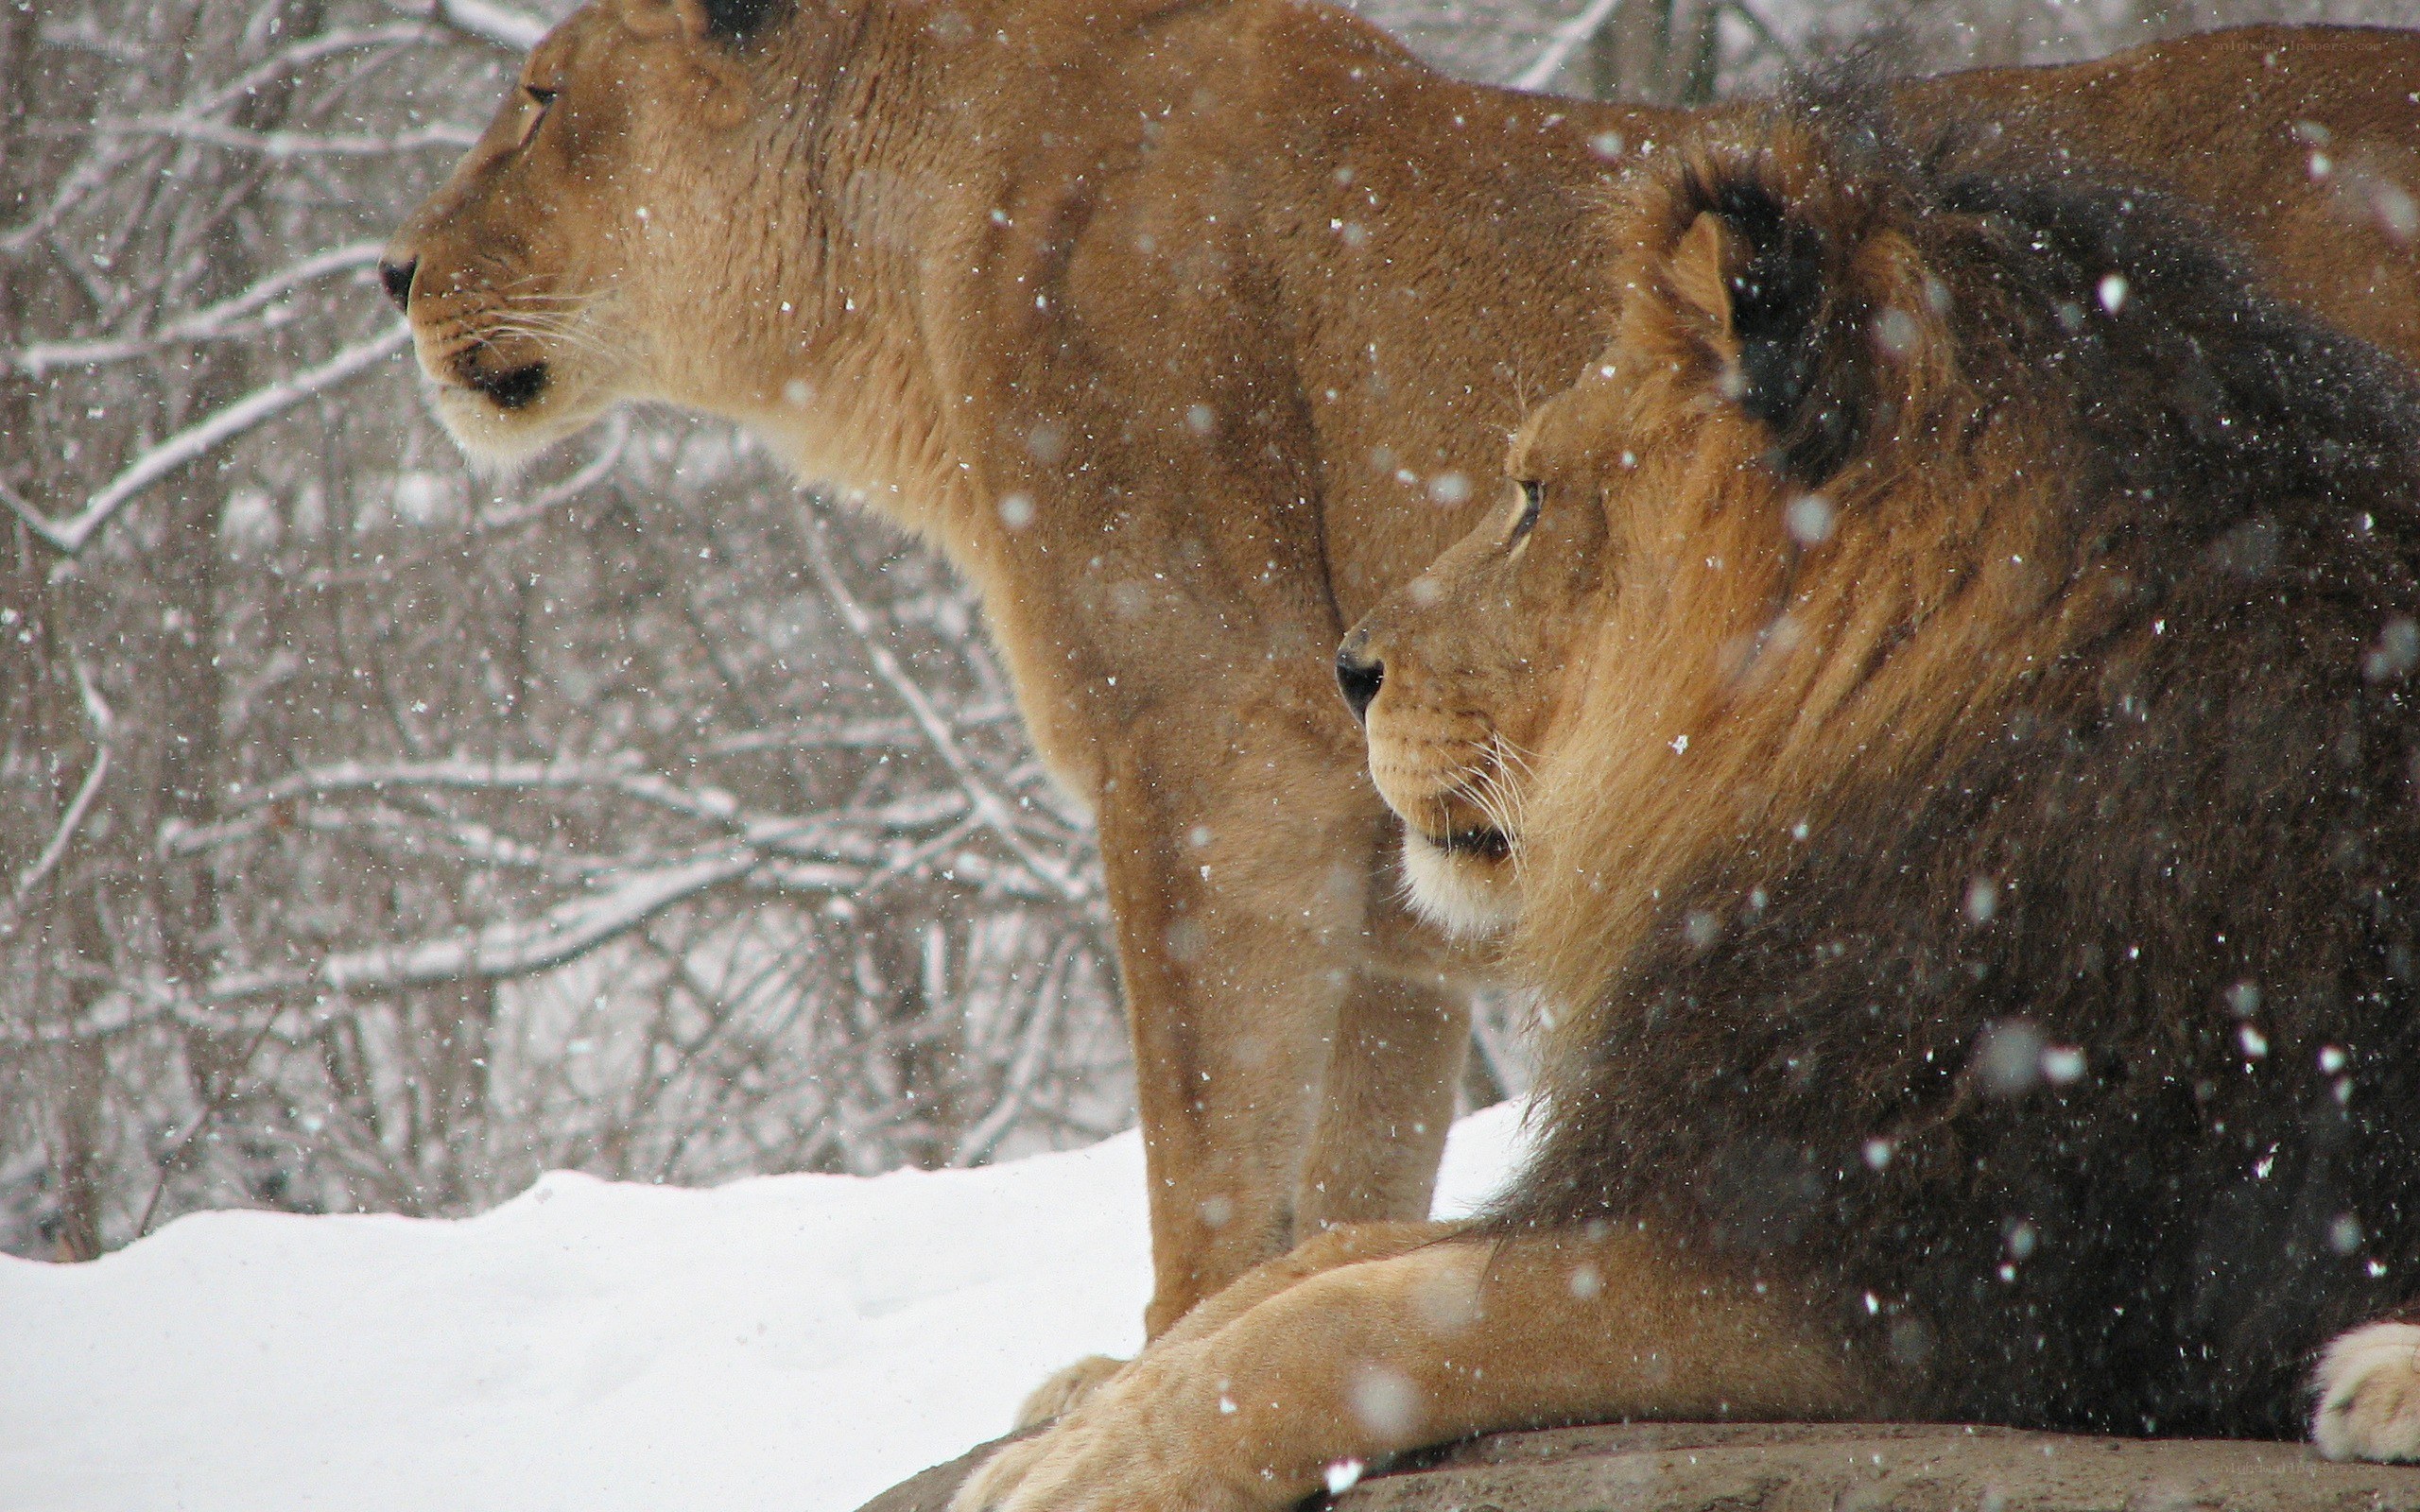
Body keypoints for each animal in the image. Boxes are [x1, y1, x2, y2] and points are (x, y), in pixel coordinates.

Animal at [380, 0, 2420, 1353]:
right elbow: (1352, 1186)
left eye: (539, 100)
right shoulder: (1395, 901)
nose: (390, 269)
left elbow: (1206, 1173)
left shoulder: (1219, 759)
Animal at [950, 98, 2420, 1512]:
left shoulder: (1914, 1262)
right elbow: (1318, 1265)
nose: (1349, 668)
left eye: (1534, 494)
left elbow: (1358, 1322)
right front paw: (1074, 1416)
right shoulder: (1684, 1152)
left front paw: (1091, 1472)